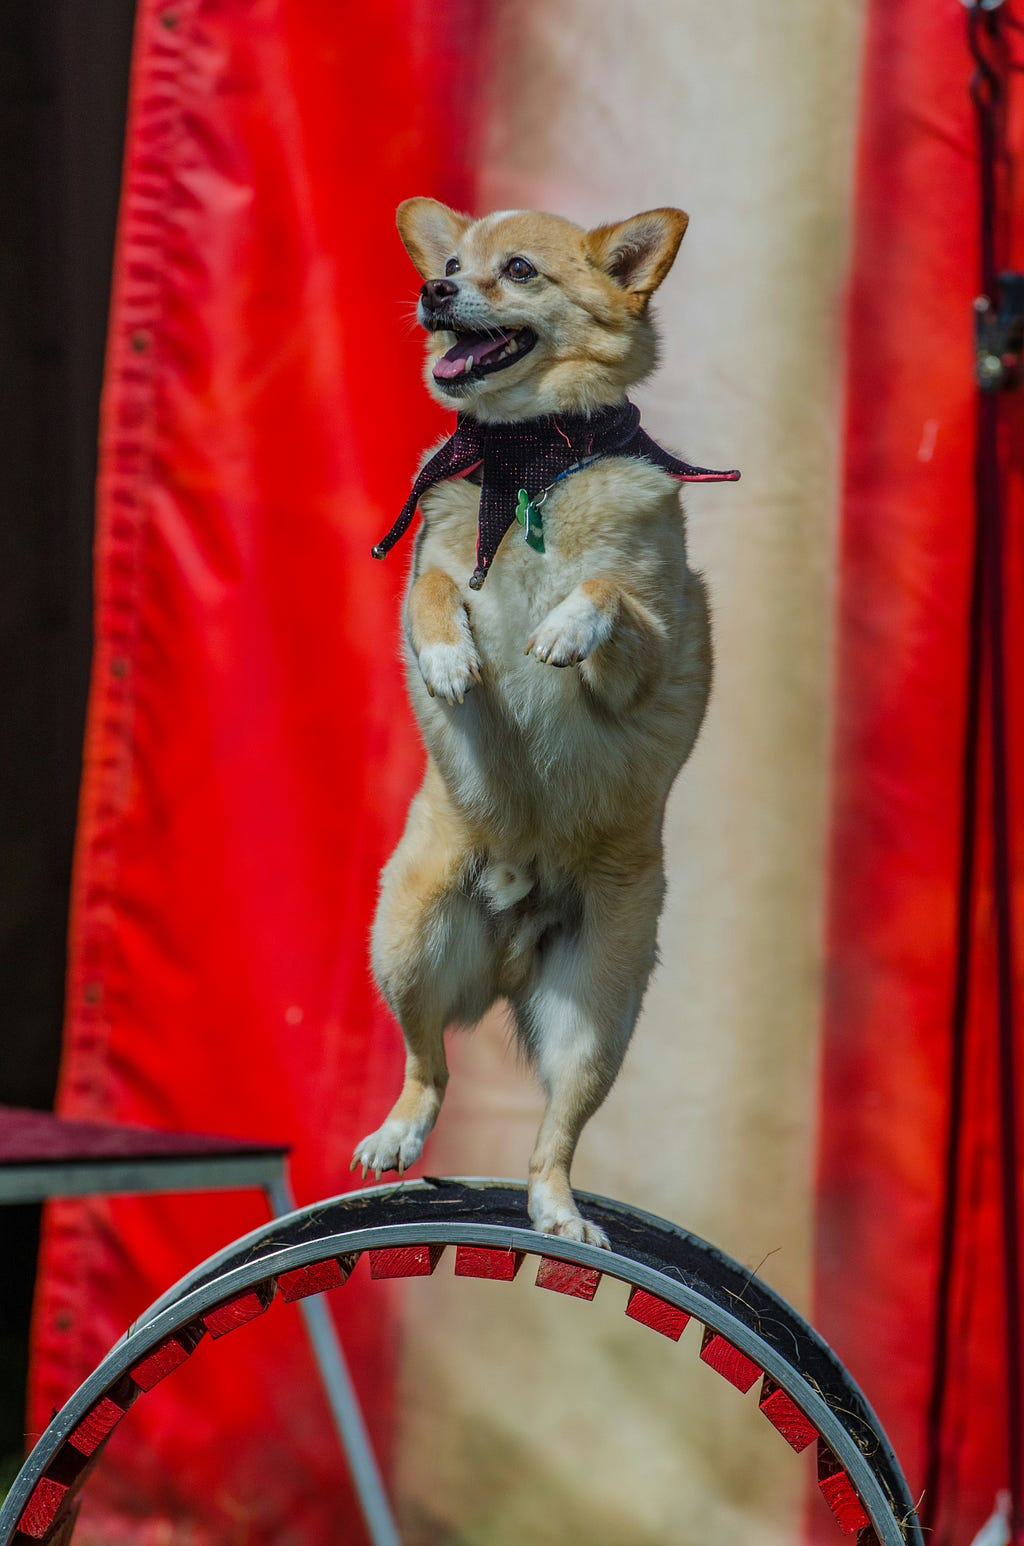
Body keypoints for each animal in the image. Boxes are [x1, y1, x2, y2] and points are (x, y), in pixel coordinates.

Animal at [352, 199, 739, 1249]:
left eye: (518, 271)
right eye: (451, 264)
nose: (433, 290)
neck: (529, 460)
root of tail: (515, 936)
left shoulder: (649, 654)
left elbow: (608, 593)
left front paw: (565, 623)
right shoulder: (427, 577)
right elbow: (436, 590)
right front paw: (451, 657)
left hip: (597, 1016)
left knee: (553, 1138)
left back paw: (558, 1212)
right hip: (407, 938)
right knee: (428, 1064)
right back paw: (399, 1136)